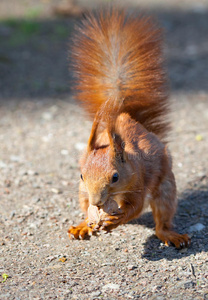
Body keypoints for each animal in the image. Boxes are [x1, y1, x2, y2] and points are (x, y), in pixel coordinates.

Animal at [68, 8, 190, 248]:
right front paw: (89, 221)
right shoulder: (84, 190)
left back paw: (171, 235)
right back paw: (82, 225)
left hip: (166, 188)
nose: (98, 201)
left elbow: (135, 207)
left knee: (162, 218)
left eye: (115, 177)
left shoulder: (138, 181)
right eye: (81, 175)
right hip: (82, 194)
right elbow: (88, 208)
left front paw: (115, 220)